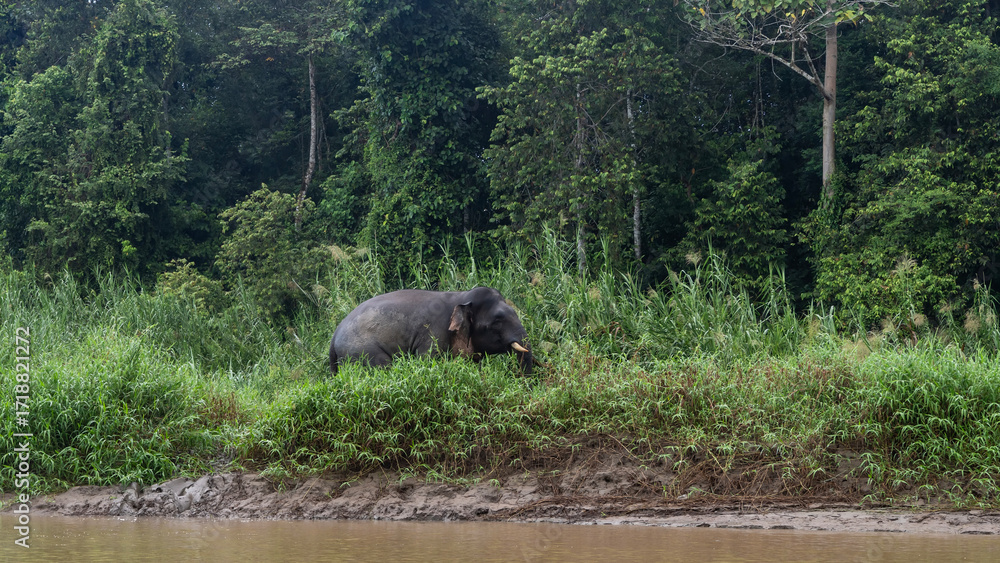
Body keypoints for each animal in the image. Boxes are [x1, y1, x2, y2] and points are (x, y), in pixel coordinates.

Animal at [329, 286, 532, 374]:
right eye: (497, 322)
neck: (462, 296)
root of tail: (334, 335)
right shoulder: (434, 334)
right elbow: (428, 360)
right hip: (362, 352)